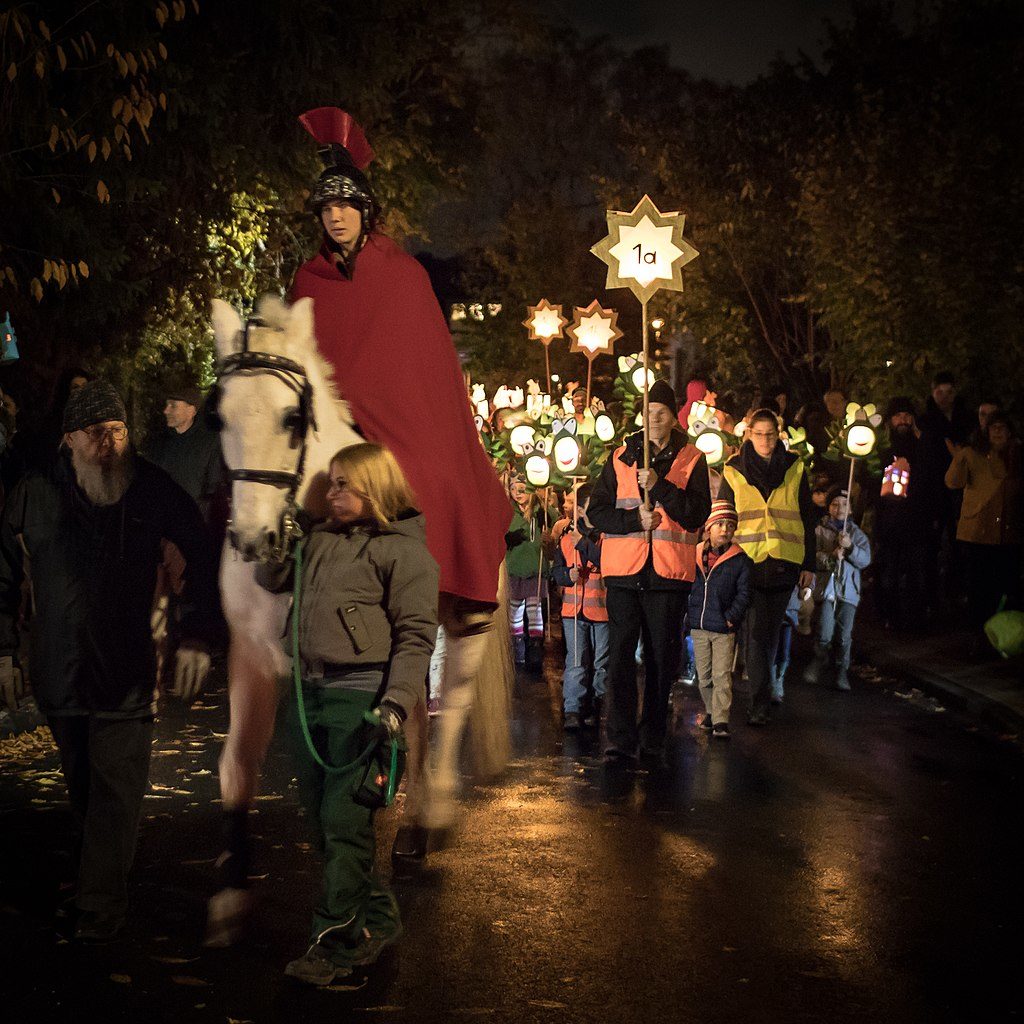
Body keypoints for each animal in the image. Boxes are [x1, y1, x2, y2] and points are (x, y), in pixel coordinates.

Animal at [206, 294, 512, 942]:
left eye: (293, 418)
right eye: (218, 419)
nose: (254, 540)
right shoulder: (251, 655)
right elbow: (238, 765)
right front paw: (232, 890)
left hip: (462, 624)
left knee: (451, 708)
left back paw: (430, 815)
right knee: (416, 718)